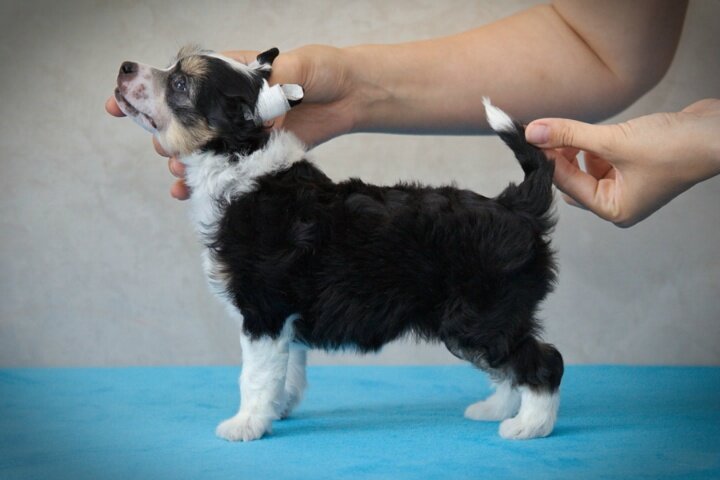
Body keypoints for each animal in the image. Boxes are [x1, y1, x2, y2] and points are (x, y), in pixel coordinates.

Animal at [115, 46, 563, 442]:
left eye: (179, 83)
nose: (124, 67)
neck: (238, 160)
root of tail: (515, 205)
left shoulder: (263, 309)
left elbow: (255, 375)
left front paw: (245, 425)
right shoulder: (285, 319)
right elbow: (286, 369)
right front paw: (277, 409)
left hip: (478, 315)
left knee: (543, 362)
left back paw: (528, 426)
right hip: (479, 320)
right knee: (509, 365)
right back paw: (496, 409)